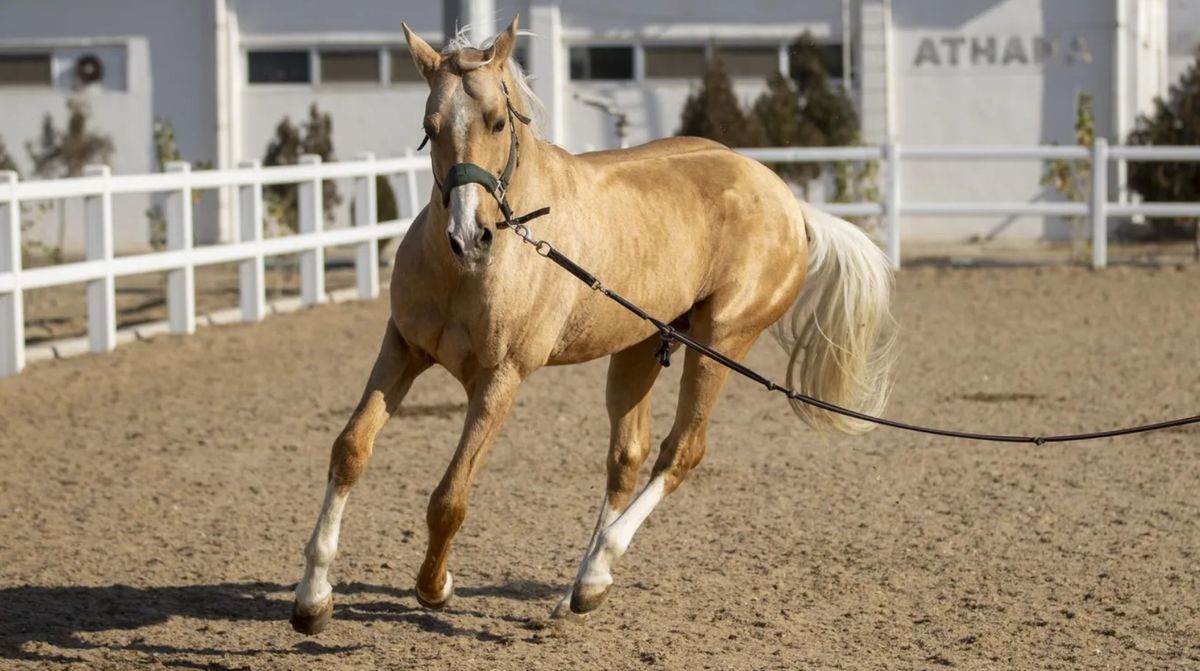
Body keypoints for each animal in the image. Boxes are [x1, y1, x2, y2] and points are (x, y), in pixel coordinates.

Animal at [288, 15, 892, 633]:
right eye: (429, 129)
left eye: (497, 121)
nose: (469, 237)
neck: (472, 270)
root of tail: (789, 203)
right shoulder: (402, 348)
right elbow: (350, 449)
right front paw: (312, 598)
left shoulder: (501, 378)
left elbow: (450, 496)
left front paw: (436, 588)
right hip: (641, 345)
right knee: (627, 458)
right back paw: (579, 589)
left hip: (722, 341)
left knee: (681, 451)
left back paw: (594, 576)